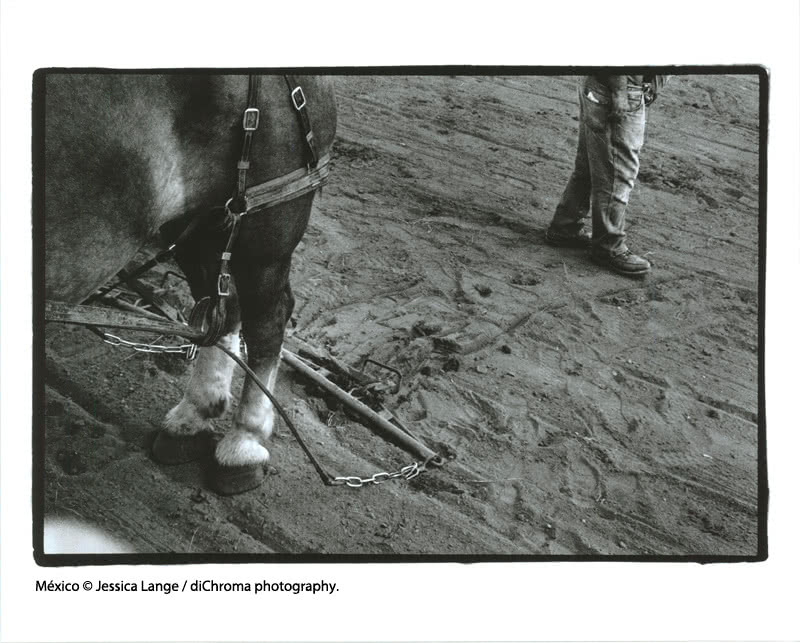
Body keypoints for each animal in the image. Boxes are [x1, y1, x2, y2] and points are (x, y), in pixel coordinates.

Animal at [42, 73, 337, 495]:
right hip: (201, 223)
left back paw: (243, 443)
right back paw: (195, 415)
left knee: (268, 319)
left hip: (265, 230)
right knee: (223, 309)